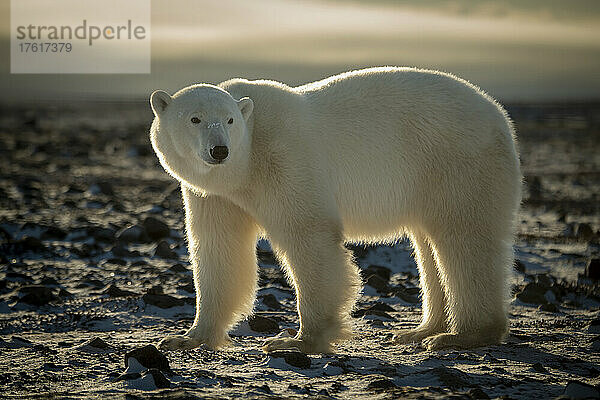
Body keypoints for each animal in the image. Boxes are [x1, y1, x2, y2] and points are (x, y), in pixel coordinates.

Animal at [149, 66, 520, 354]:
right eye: (195, 119)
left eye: (228, 120)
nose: (219, 150)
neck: (246, 162)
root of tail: (499, 115)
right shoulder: (215, 195)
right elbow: (218, 250)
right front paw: (188, 337)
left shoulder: (285, 157)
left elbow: (309, 234)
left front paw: (299, 340)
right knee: (429, 244)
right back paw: (421, 330)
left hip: (455, 161)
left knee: (464, 237)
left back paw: (462, 335)